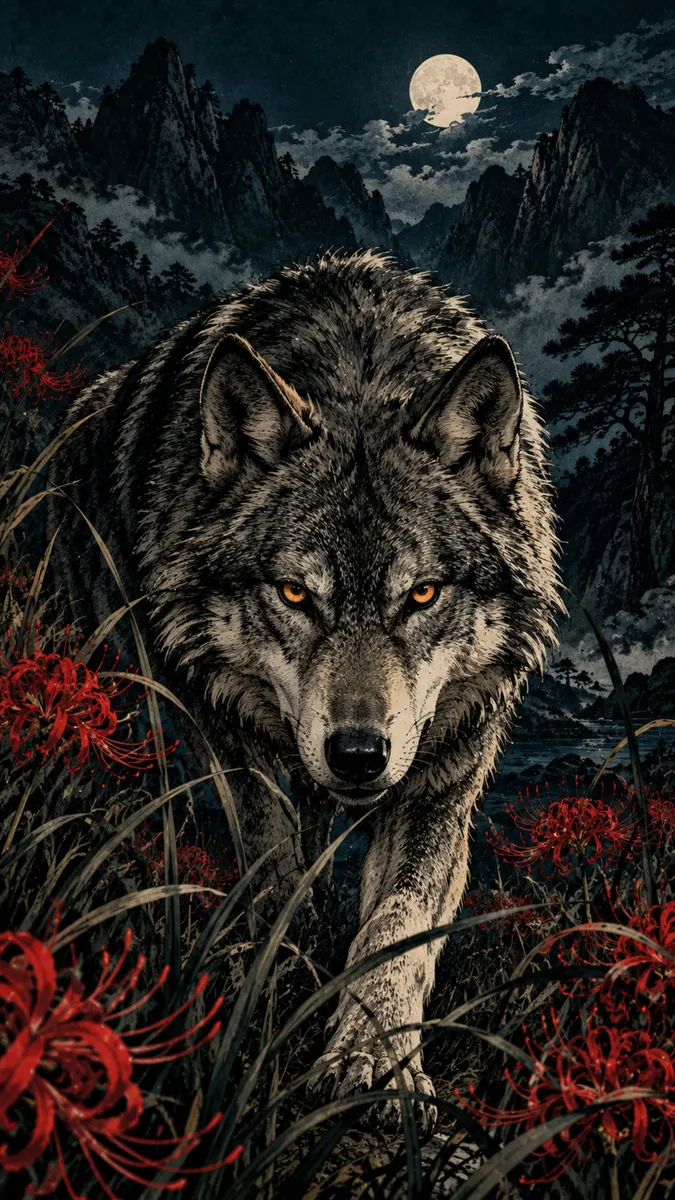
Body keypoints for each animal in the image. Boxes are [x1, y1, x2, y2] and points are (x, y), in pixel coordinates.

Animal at [47, 250, 561, 1129]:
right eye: (295, 595)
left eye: (420, 595)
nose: (357, 754)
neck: (360, 365)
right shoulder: (235, 738)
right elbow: (272, 867)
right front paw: (277, 994)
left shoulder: (442, 786)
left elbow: (395, 929)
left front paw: (373, 1063)